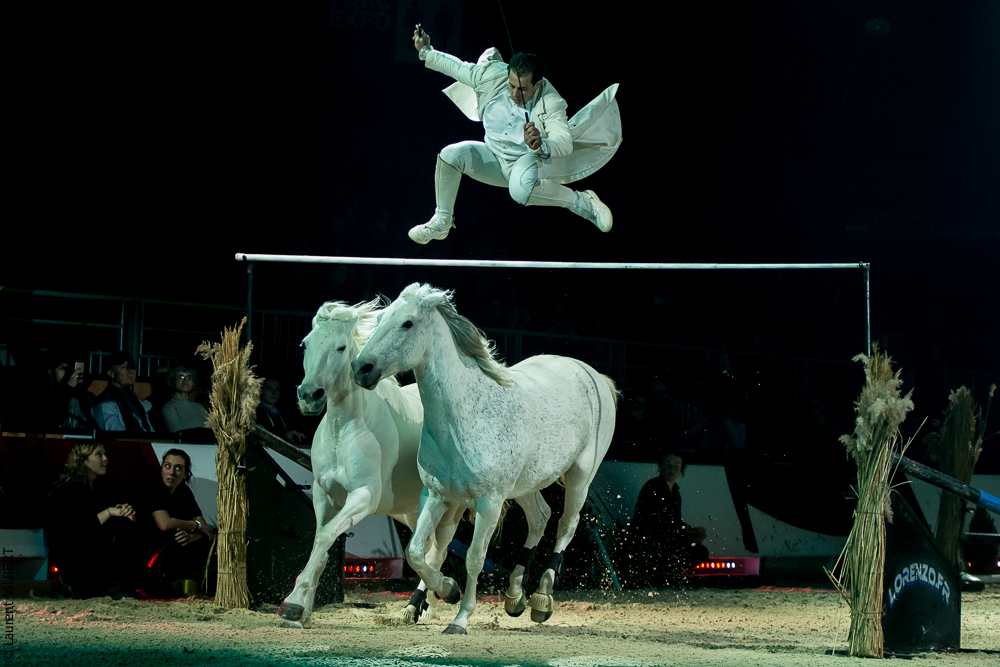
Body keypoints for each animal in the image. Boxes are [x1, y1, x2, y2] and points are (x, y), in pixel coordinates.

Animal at [276, 298, 457, 628]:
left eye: (340, 347)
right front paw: (302, 611)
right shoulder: (324, 494)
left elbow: (326, 536)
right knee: (425, 549)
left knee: (438, 552)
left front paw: (293, 605)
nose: (309, 395)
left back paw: (433, 601)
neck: (345, 429)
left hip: (450, 508)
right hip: (412, 510)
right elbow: (321, 542)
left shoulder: (363, 496)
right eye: (305, 344)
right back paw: (420, 607)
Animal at [353, 283, 619, 635]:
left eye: (407, 323)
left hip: (580, 476)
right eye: (381, 319)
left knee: (566, 525)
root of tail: (595, 375)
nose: (361, 368)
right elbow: (417, 553)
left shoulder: (489, 503)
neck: (466, 416)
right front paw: (445, 591)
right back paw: (515, 596)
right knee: (540, 517)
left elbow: (475, 558)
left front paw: (460, 618)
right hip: (525, 485)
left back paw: (542, 598)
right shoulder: (437, 496)